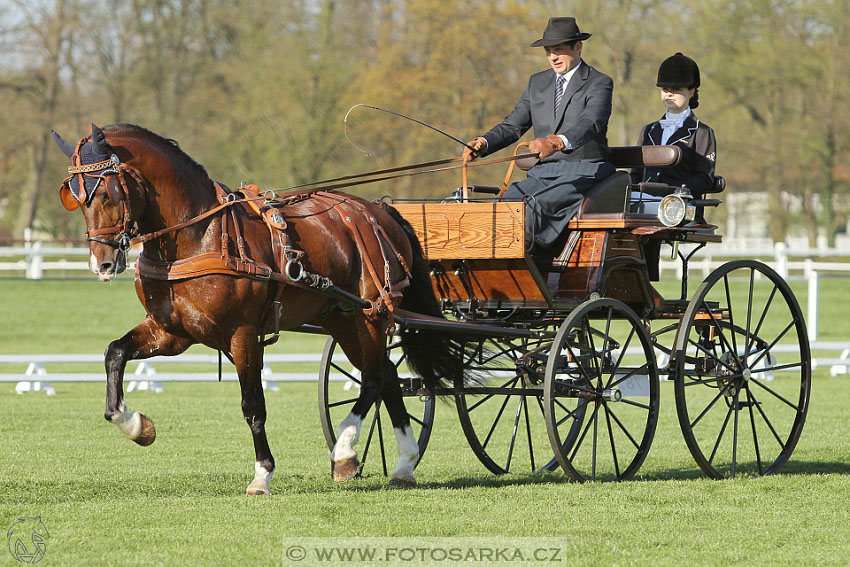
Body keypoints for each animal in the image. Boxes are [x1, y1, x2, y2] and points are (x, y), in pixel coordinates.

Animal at [52, 123, 464, 492]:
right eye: (74, 196)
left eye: (107, 192)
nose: (102, 263)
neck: (199, 235)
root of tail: (378, 211)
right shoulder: (171, 332)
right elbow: (114, 353)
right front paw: (137, 425)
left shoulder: (242, 334)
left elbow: (253, 405)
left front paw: (262, 475)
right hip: (343, 319)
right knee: (388, 377)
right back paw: (404, 465)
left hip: (371, 314)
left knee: (375, 379)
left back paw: (345, 450)